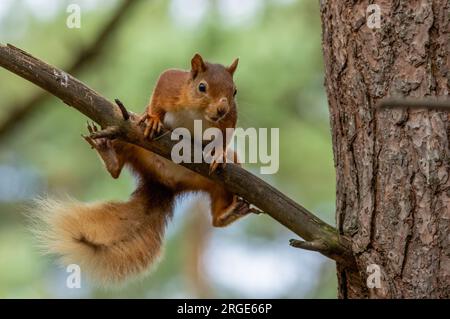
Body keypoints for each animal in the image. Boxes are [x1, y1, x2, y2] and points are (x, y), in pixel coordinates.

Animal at [31, 53, 250, 286]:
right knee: (116, 167)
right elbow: (161, 90)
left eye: (234, 91)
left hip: (217, 180)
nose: (221, 109)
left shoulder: (229, 119)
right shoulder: (171, 84)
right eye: (202, 87)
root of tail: (164, 182)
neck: (199, 113)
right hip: (127, 132)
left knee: (216, 216)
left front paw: (219, 153)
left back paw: (229, 212)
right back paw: (107, 152)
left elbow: (225, 137)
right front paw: (153, 119)